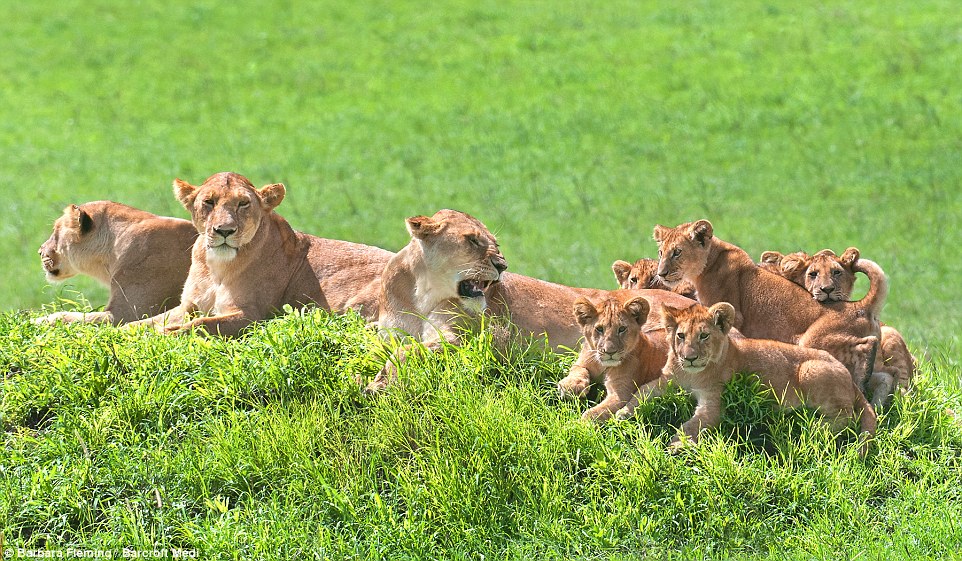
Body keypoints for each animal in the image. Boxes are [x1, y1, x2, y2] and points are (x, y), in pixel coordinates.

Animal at [126, 172, 394, 335]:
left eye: (243, 204)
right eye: (209, 202)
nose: (224, 230)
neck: (216, 267)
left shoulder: (250, 315)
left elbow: (198, 325)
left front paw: (161, 334)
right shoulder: (188, 306)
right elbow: (138, 323)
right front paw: (124, 332)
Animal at [364, 209, 696, 393]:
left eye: (495, 244)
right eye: (472, 240)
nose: (502, 266)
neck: (422, 293)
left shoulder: (462, 339)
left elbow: (408, 351)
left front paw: (378, 384)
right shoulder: (387, 335)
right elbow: (390, 347)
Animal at [556, 292, 670, 422]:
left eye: (622, 329)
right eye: (599, 329)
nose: (610, 352)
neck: (603, 367)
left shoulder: (621, 394)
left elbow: (593, 414)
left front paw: (579, 423)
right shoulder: (582, 361)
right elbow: (577, 369)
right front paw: (571, 386)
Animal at [616, 302, 877, 457]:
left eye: (704, 336)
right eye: (680, 336)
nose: (689, 358)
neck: (692, 374)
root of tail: (851, 379)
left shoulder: (714, 402)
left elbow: (693, 424)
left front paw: (676, 445)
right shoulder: (667, 380)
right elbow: (641, 392)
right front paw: (622, 413)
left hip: (809, 369)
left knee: (847, 416)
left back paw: (814, 426)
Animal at [652, 220, 886, 402]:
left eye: (677, 252)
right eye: (661, 253)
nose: (661, 273)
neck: (708, 263)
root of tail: (859, 305)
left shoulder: (732, 313)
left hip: (812, 339)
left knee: (867, 344)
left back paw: (861, 380)